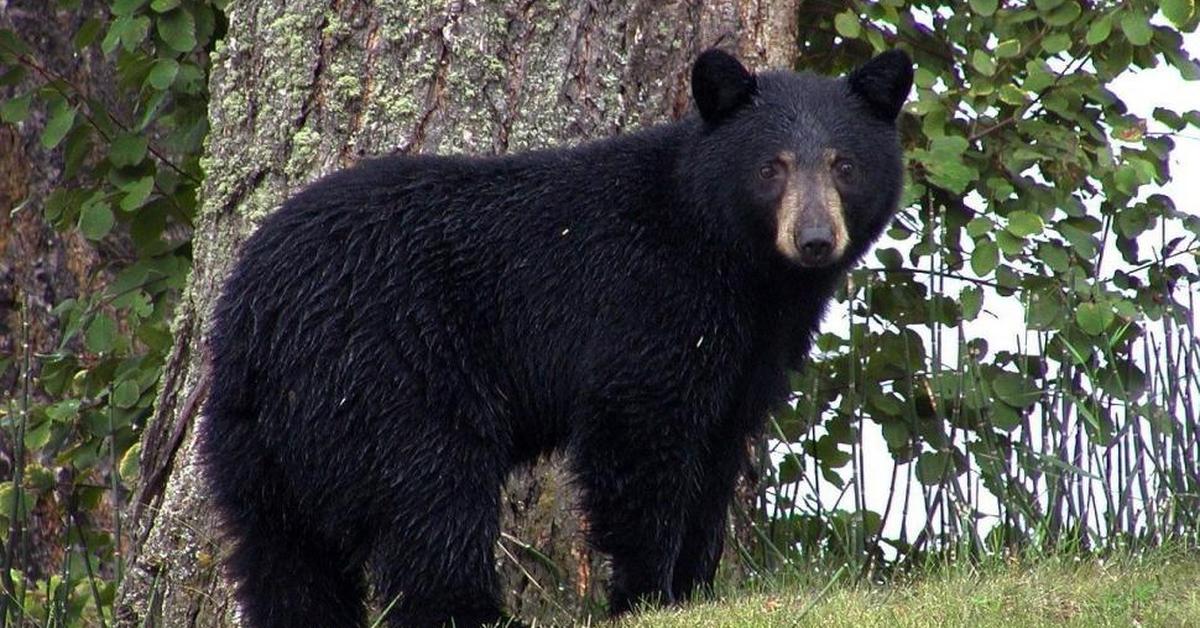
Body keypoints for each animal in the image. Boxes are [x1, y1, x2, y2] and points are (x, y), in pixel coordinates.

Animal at [201, 46, 907, 624]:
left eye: (844, 165)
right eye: (771, 167)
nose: (814, 240)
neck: (735, 262)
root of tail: (256, 314)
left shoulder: (751, 351)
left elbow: (718, 452)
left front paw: (696, 589)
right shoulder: (650, 301)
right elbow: (639, 434)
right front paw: (646, 595)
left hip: (255, 438)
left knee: (282, 555)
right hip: (389, 374)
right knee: (431, 498)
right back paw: (476, 613)